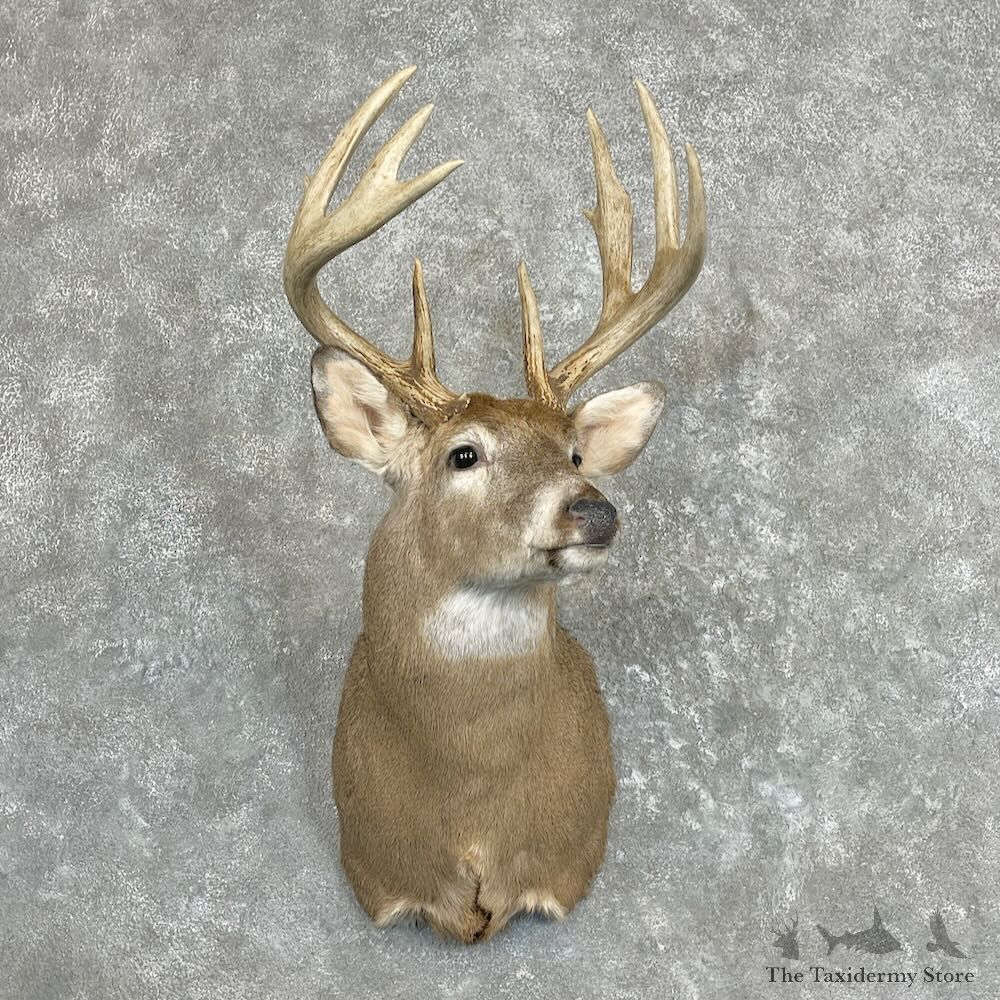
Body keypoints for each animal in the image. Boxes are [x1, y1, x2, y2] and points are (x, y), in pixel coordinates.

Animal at [282, 66, 706, 943]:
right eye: (464, 453)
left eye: (574, 451)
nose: (594, 511)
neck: (472, 803)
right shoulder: (380, 875)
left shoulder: (564, 865)